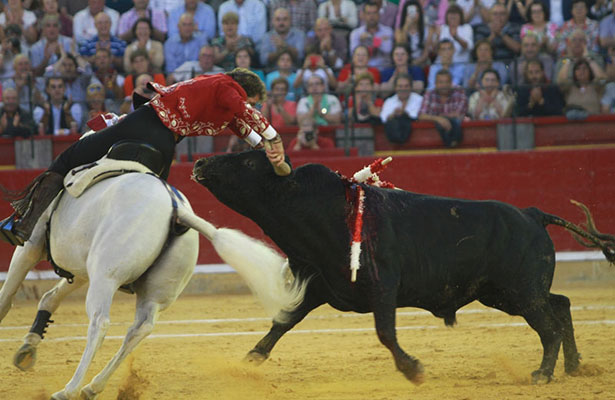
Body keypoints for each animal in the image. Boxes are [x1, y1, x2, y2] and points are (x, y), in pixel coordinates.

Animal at [0, 172, 306, 400]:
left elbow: (8, 294)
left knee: (100, 323)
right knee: (140, 328)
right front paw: (29, 346)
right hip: (152, 293)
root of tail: (177, 210)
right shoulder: (81, 269)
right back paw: (93, 386)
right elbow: (51, 296)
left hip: (105, 277)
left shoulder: (31, 245)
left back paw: (70, 388)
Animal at [194, 151, 615, 384]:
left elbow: (385, 332)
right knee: (560, 305)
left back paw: (543, 374)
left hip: (520, 293)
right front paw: (251, 359)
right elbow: (284, 320)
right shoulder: (321, 286)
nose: (199, 162)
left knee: (548, 325)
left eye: (248, 160)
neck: (322, 212)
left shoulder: (383, 287)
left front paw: (413, 370)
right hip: (504, 294)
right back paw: (575, 366)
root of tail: (532, 213)